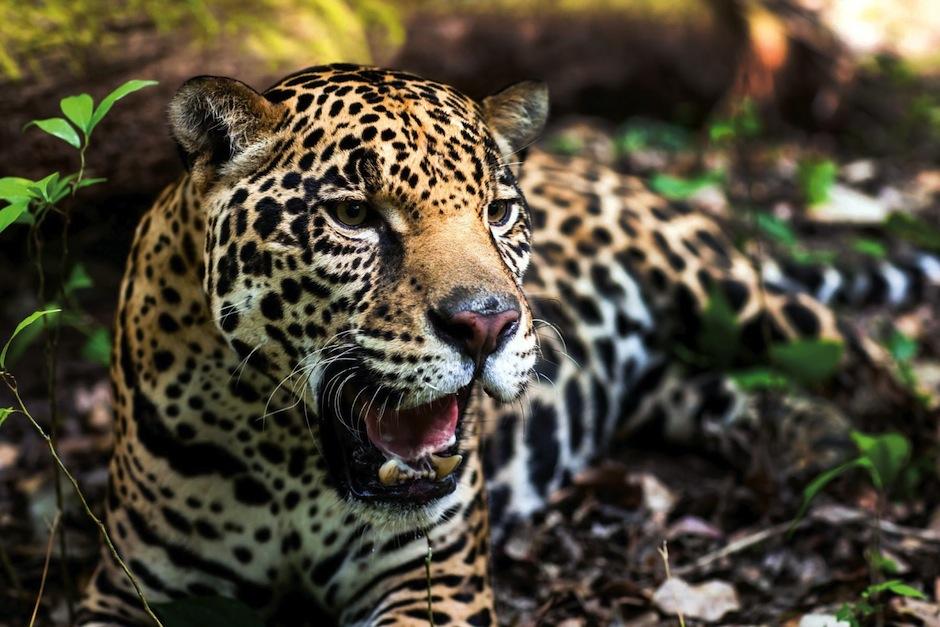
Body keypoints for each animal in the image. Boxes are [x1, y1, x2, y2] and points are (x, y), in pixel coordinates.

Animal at [78, 63, 939, 626]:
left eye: (498, 211)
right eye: (353, 215)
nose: (487, 323)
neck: (293, 459)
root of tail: (606, 170)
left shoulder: (433, 581)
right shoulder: (129, 587)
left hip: (727, 291)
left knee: (854, 353)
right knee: (717, 391)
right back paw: (813, 444)